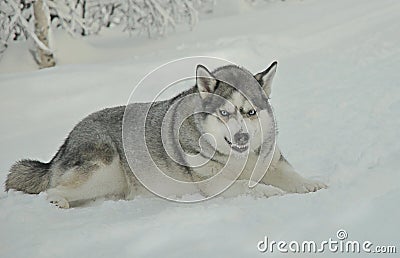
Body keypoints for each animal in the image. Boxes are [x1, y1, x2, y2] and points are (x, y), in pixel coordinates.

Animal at [4, 62, 326, 208]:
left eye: (250, 112)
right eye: (224, 113)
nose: (242, 138)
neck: (239, 160)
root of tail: (63, 145)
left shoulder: (272, 163)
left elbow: (293, 177)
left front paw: (312, 184)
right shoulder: (216, 186)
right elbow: (250, 187)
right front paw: (270, 192)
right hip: (102, 171)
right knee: (52, 190)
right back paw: (58, 201)